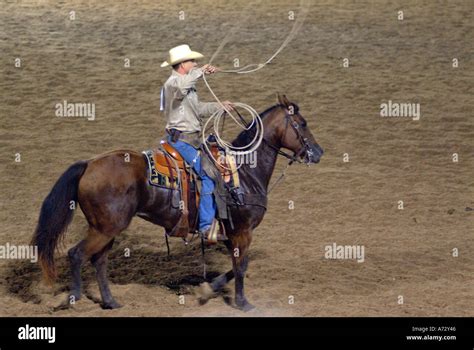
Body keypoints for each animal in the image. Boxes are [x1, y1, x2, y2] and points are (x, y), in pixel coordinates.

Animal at [32, 93, 322, 312]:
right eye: (302, 123)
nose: (318, 153)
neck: (244, 170)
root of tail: (90, 164)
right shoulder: (242, 231)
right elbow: (241, 267)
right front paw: (243, 303)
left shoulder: (230, 232)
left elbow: (238, 266)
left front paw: (206, 290)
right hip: (105, 228)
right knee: (77, 254)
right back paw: (71, 298)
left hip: (106, 229)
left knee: (98, 260)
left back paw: (111, 302)